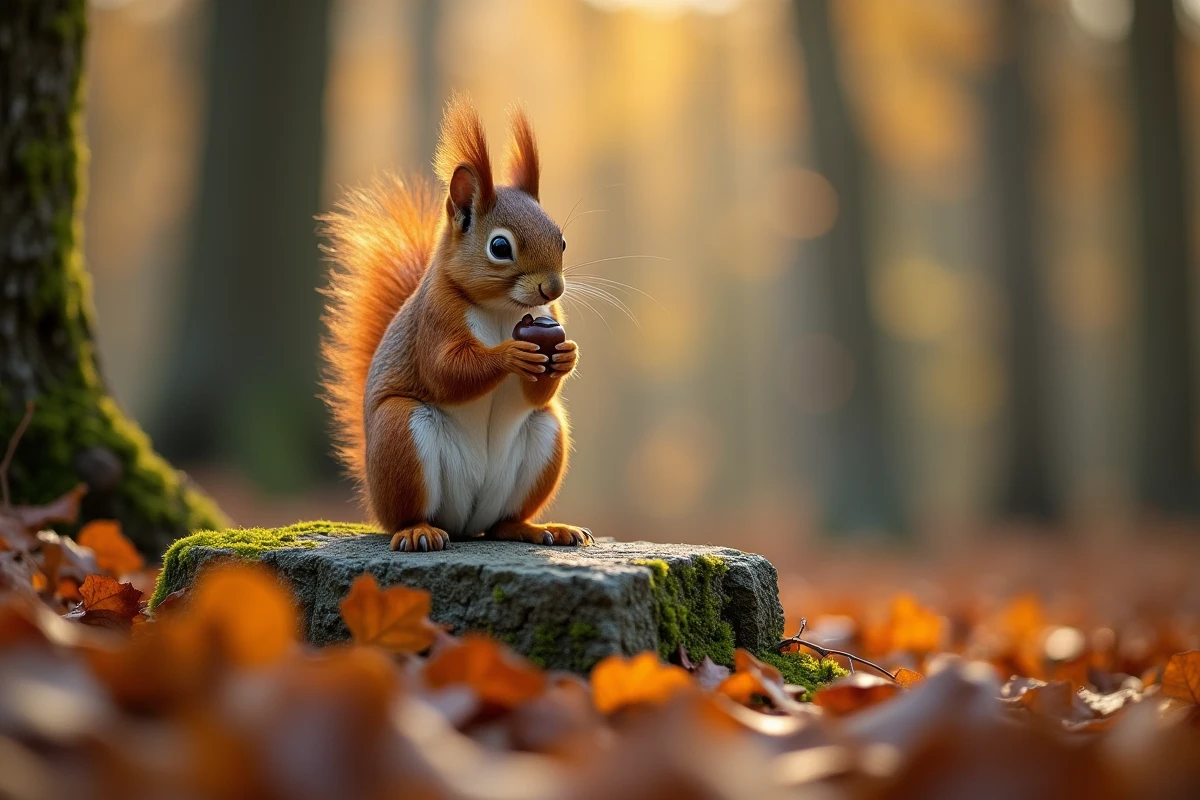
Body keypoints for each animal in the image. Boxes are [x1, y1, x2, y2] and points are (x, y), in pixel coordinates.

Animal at [319, 94, 592, 553]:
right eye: (500, 247)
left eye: (562, 239)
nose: (552, 289)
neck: (501, 310)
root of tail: (466, 522)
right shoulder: (436, 318)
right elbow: (446, 372)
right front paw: (510, 354)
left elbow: (538, 391)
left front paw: (567, 355)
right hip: (400, 435)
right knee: (408, 515)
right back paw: (418, 531)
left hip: (546, 436)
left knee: (503, 522)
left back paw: (539, 528)